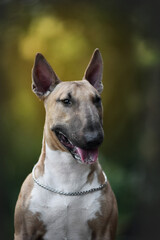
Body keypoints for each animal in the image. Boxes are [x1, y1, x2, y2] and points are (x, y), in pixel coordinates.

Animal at [14, 48, 117, 238]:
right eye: (66, 101)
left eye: (97, 100)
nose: (95, 138)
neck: (68, 175)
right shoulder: (24, 232)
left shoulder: (104, 231)